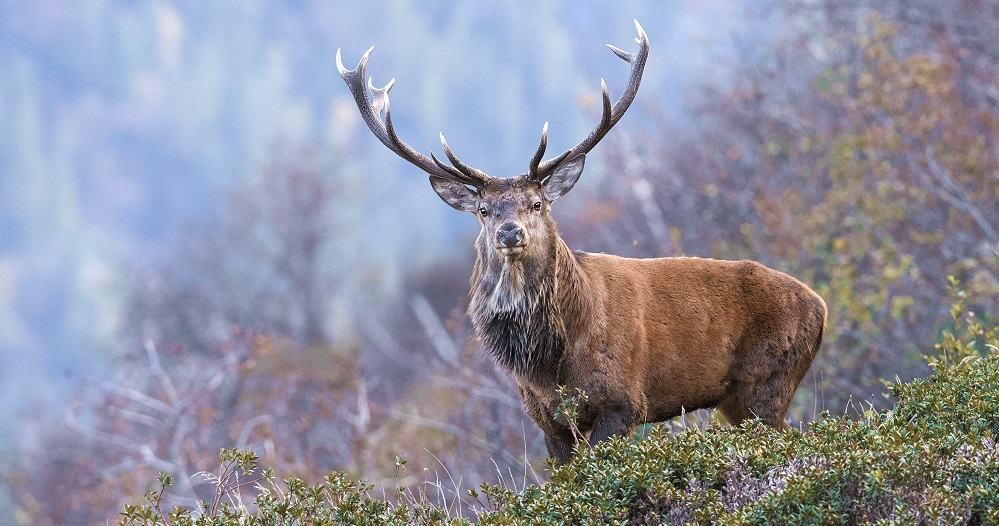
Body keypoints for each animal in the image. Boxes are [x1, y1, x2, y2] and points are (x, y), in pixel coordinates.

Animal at [337, 20, 827, 463]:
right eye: (484, 210)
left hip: (766, 383)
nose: (509, 232)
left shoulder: (623, 401)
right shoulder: (546, 418)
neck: (551, 363)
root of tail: (820, 306)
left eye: (536, 203)